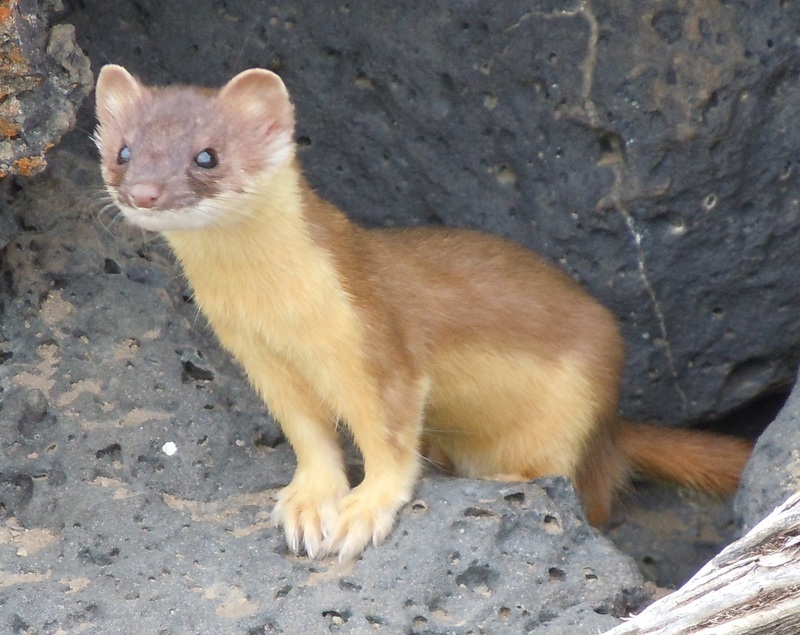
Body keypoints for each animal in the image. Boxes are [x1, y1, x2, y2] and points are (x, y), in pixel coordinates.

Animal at [94, 66, 756, 560]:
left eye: (206, 156)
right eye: (123, 151)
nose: (144, 192)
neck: (276, 314)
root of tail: (612, 427)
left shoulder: (374, 339)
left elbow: (388, 436)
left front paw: (362, 511)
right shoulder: (259, 357)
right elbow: (308, 433)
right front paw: (309, 505)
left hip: (580, 408)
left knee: (585, 491)